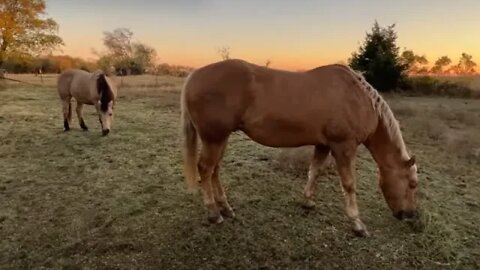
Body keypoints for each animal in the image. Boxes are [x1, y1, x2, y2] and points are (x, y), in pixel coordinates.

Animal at [182, 59, 418, 236]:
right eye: (412, 184)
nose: (410, 215)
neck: (358, 99)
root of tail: (195, 75)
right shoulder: (344, 147)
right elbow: (349, 184)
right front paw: (357, 223)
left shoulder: (323, 145)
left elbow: (314, 171)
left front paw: (308, 202)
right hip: (214, 138)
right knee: (206, 169)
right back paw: (214, 213)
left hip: (220, 139)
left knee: (215, 170)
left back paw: (226, 208)